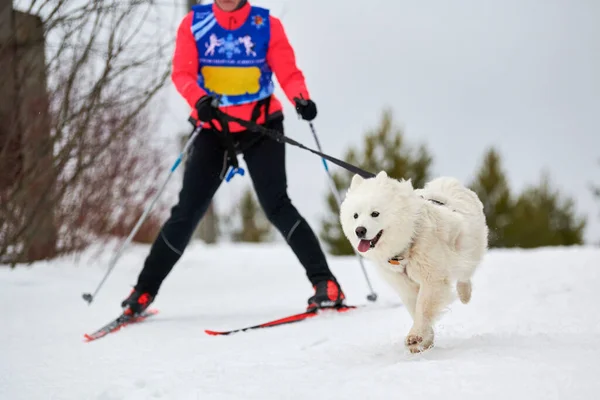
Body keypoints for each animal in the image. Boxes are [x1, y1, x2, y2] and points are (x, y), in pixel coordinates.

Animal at [338, 170, 488, 352]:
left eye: (375, 213)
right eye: (355, 216)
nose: (359, 231)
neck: (406, 244)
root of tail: (449, 182)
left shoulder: (432, 278)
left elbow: (422, 307)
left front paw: (415, 336)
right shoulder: (404, 285)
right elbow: (414, 308)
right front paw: (425, 340)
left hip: (469, 250)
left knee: (465, 275)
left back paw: (465, 294)